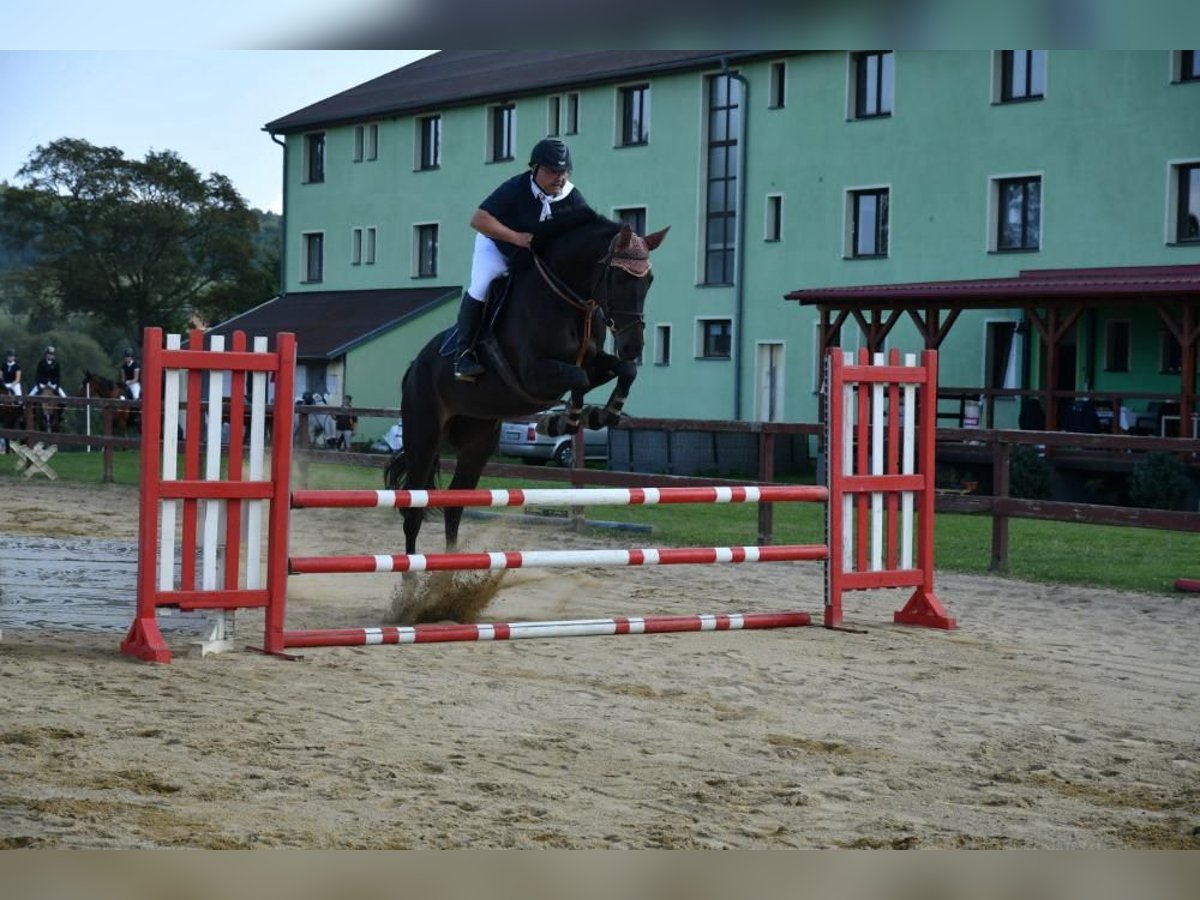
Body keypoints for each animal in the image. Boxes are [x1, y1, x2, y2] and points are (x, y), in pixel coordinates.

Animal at [384, 213, 667, 556]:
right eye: (618, 279)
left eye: (648, 280)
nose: (632, 346)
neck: (569, 301)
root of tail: (413, 368)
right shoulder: (533, 375)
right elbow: (579, 379)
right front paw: (563, 421)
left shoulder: (594, 362)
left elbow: (623, 371)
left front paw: (604, 413)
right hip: (423, 438)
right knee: (413, 510)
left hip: (477, 442)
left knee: (455, 506)